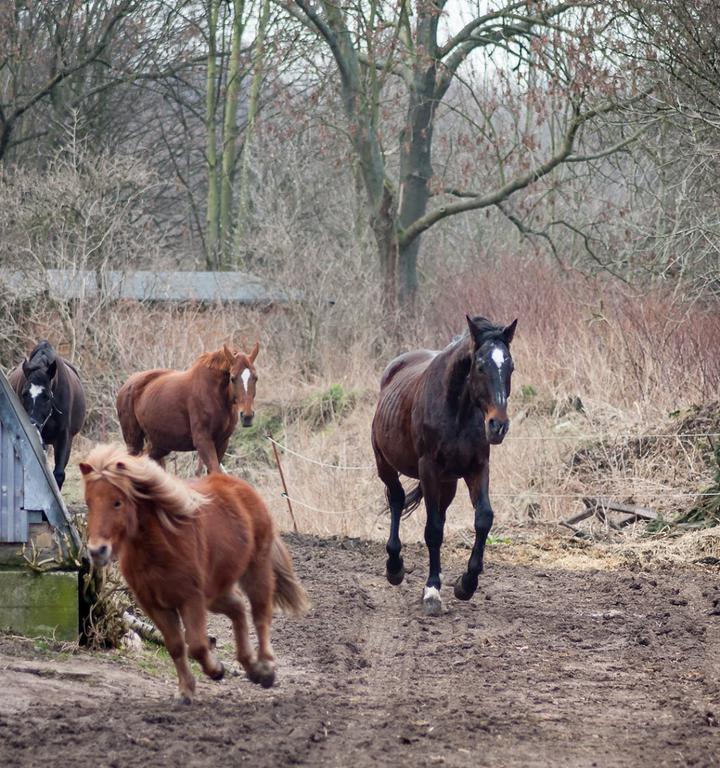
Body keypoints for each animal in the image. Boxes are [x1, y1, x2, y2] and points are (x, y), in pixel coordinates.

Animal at [80, 444, 308, 704]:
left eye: (117, 502)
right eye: (88, 503)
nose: (97, 551)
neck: (159, 547)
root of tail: (243, 489)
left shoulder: (191, 599)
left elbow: (197, 645)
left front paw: (216, 670)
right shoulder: (155, 605)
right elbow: (176, 646)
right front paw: (185, 691)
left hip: (255, 572)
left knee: (261, 615)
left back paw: (266, 669)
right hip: (215, 592)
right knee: (238, 608)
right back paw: (251, 666)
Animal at [118, 344, 262, 474]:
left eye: (255, 378)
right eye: (232, 378)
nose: (247, 416)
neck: (215, 395)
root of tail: (126, 385)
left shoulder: (222, 442)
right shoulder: (203, 441)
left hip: (159, 444)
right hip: (133, 442)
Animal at [372, 316, 516, 616]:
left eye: (510, 366)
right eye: (480, 366)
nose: (498, 426)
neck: (457, 410)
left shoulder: (477, 468)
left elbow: (483, 518)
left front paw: (467, 583)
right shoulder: (428, 470)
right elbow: (434, 529)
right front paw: (432, 591)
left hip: (448, 482)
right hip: (385, 465)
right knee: (397, 499)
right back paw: (395, 567)